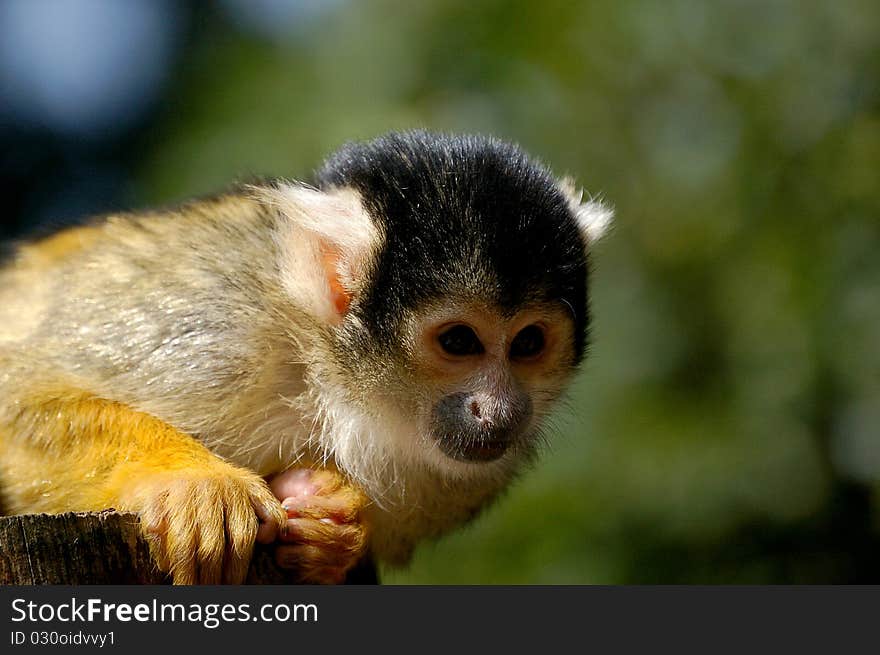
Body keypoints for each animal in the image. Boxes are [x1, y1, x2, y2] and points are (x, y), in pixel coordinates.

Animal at [0, 132, 612, 584]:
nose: (501, 409)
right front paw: (192, 481)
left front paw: (338, 531)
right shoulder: (218, 330)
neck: (327, 373)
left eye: (527, 343)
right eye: (460, 342)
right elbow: (19, 395)